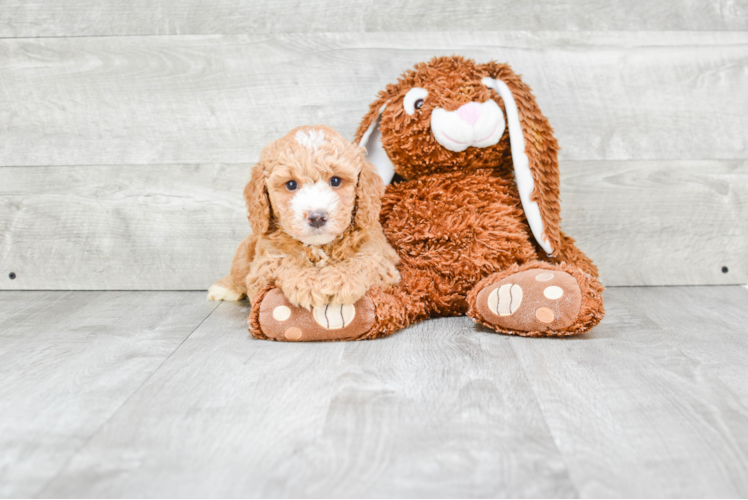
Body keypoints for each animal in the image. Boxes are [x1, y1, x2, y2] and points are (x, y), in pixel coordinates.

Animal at [207, 127, 400, 342]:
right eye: (291, 185)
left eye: (335, 180)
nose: (317, 217)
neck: (319, 246)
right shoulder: (263, 264)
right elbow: (285, 261)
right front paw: (307, 284)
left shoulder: (382, 258)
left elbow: (362, 262)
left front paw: (338, 282)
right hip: (245, 253)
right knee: (238, 274)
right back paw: (222, 289)